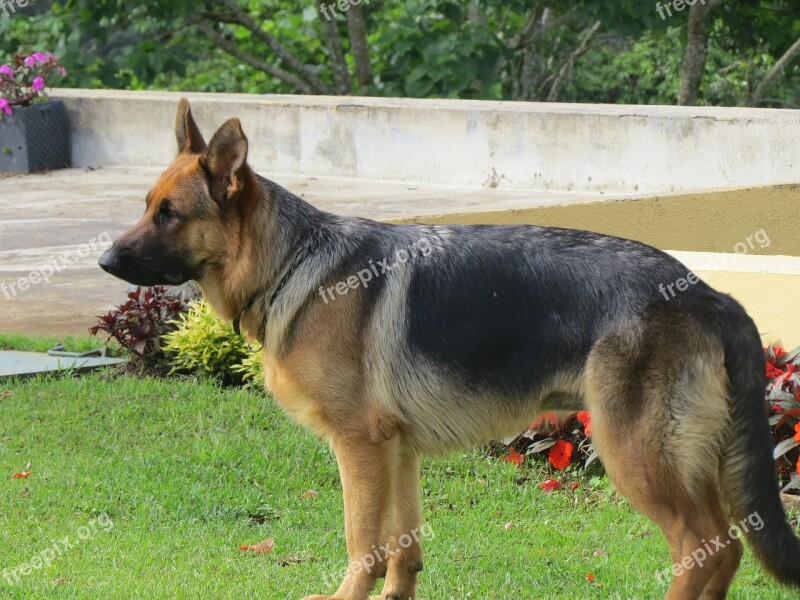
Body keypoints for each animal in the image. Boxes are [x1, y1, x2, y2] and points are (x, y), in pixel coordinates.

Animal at [100, 99, 800, 600]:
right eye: (146, 206)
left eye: (169, 215)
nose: (103, 261)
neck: (293, 262)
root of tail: (708, 292)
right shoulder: (396, 451)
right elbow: (402, 551)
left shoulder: (358, 447)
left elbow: (362, 544)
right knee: (725, 549)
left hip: (634, 452)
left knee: (702, 546)